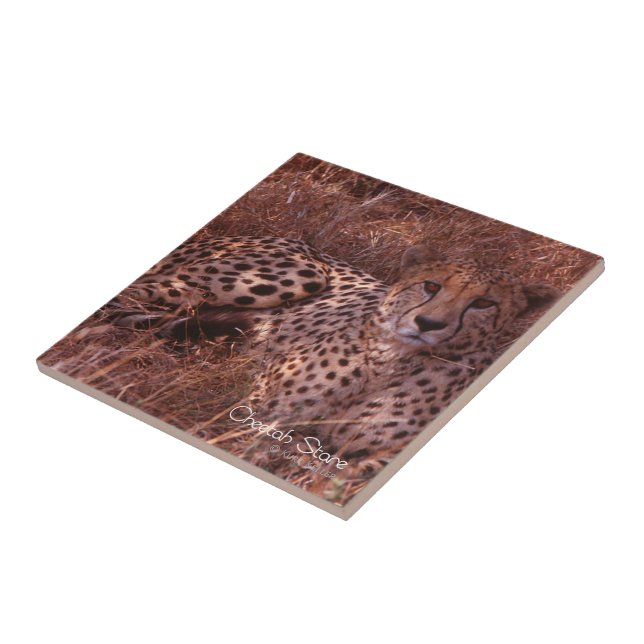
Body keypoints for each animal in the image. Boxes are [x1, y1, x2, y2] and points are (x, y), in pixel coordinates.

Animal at [109, 235, 560, 476]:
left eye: (484, 303)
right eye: (430, 285)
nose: (429, 324)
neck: (391, 362)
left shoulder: (369, 459)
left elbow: (329, 463)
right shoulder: (259, 407)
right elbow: (276, 439)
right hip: (298, 274)